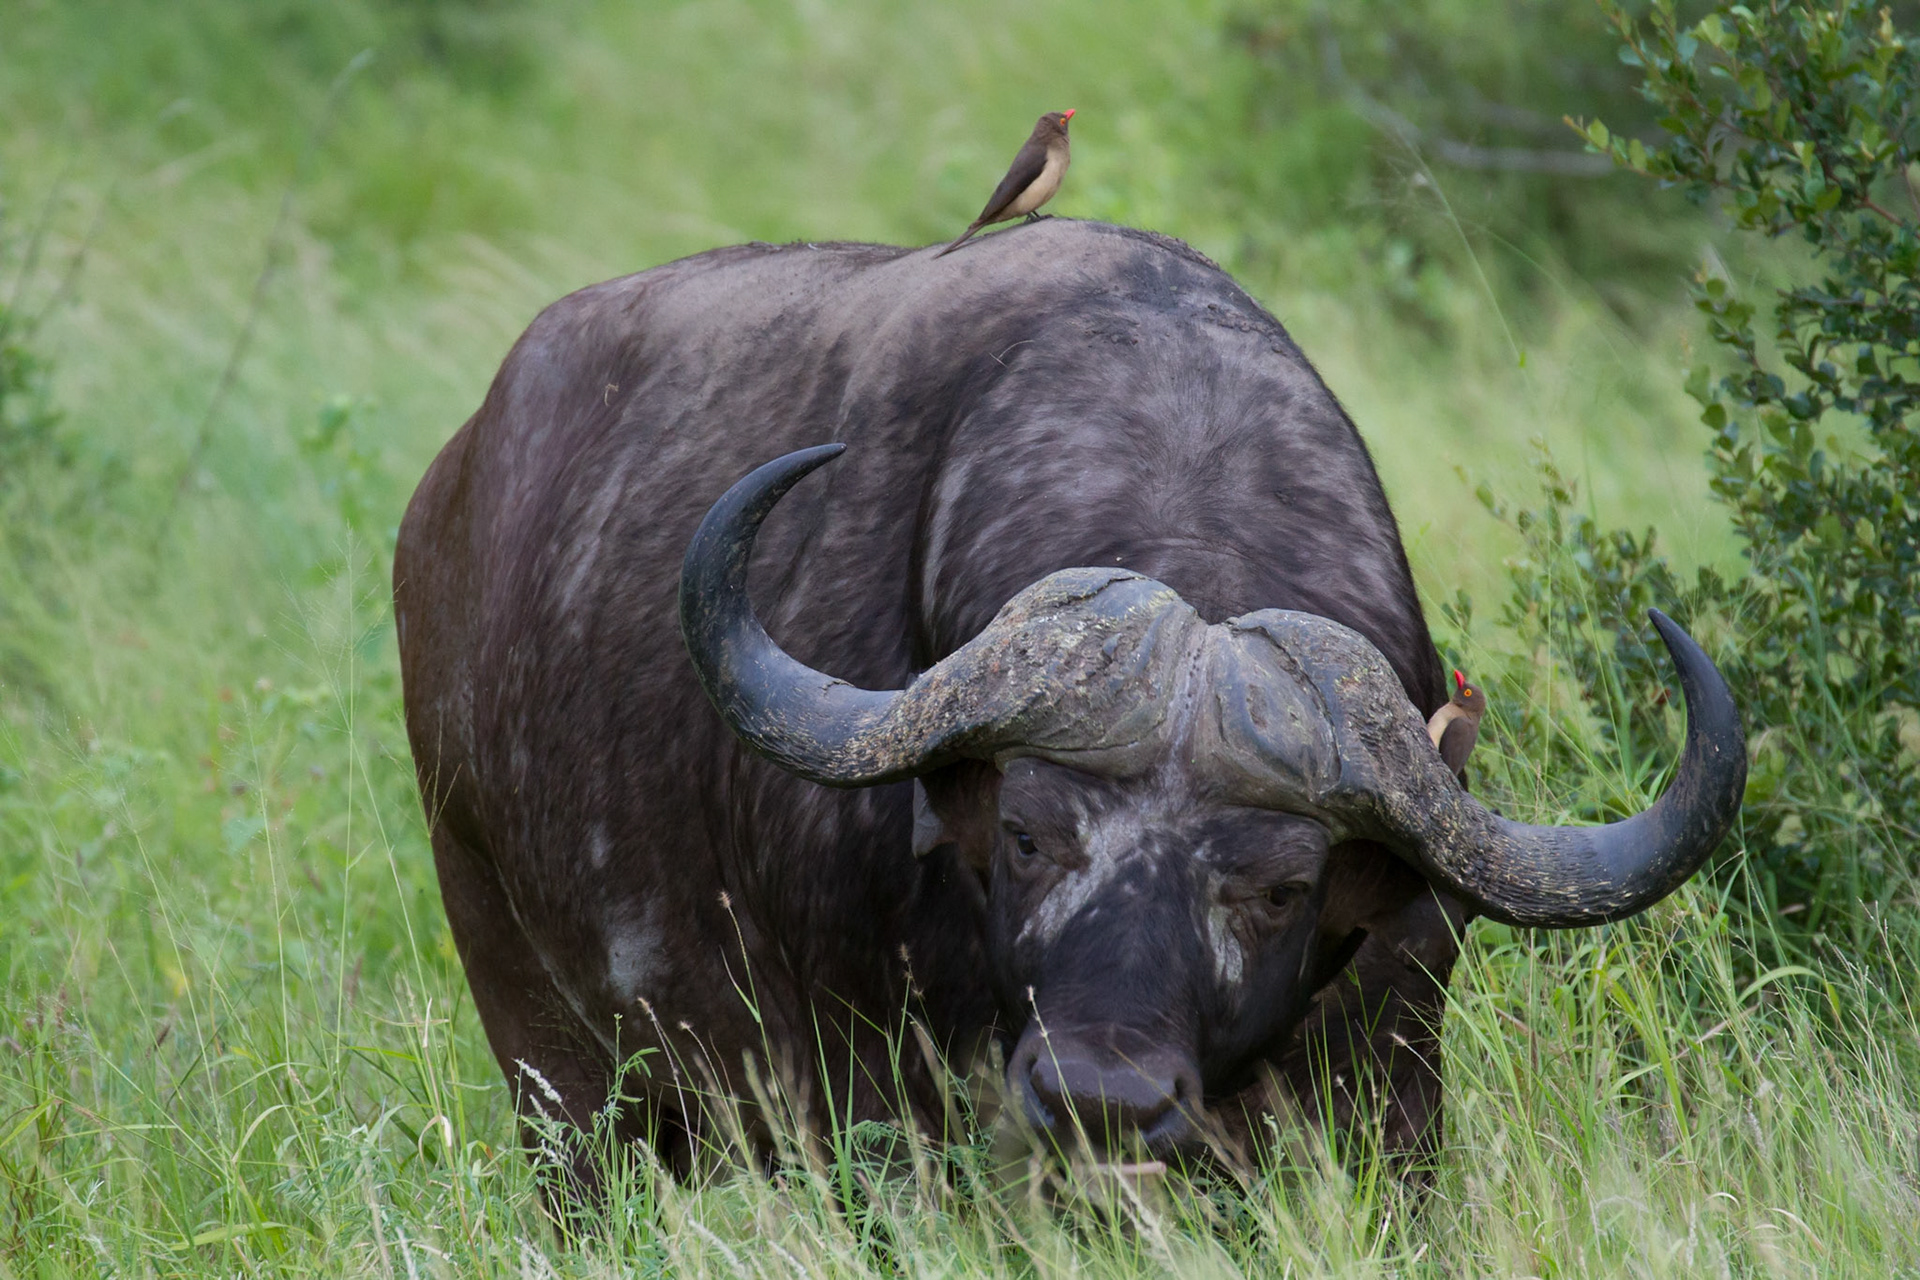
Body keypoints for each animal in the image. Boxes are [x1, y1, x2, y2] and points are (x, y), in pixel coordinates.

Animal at [393, 219, 1743, 1198]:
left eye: (1281, 888)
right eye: (1029, 835)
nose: (1100, 1098)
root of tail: (445, 489)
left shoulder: (1393, 1085)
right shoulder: (866, 1100)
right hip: (548, 1050)